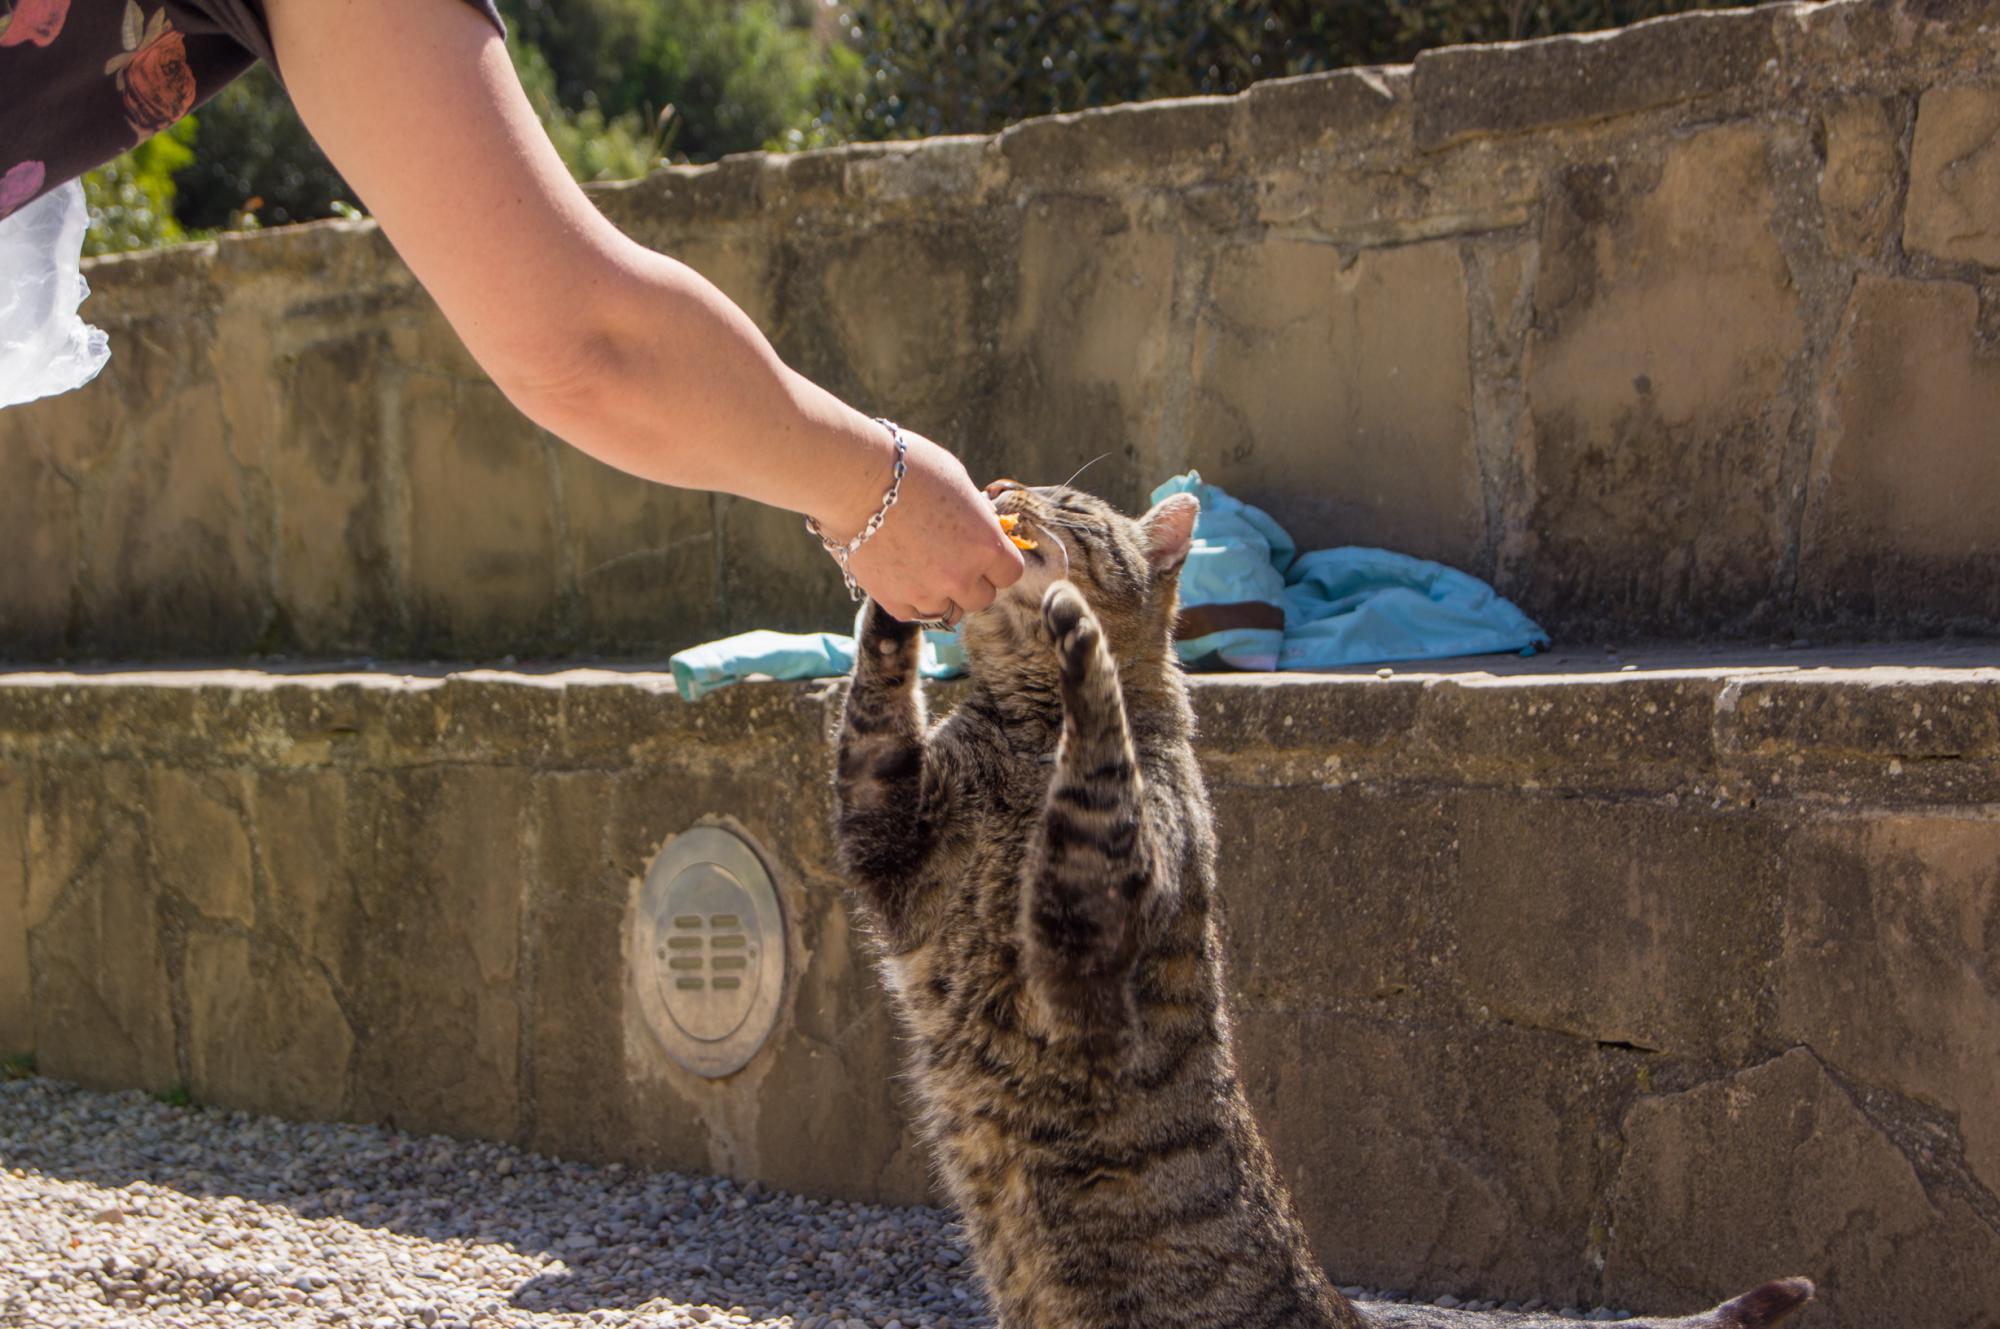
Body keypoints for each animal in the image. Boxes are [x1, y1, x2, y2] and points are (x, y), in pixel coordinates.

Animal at [828, 480, 1816, 1329]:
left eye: (1064, 496)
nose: (995, 486)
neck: (1023, 730)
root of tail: (1345, 1306)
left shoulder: (1090, 920)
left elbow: (1097, 743)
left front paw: (1070, 629)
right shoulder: (888, 830)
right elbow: (875, 701)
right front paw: (884, 570)